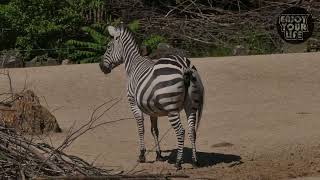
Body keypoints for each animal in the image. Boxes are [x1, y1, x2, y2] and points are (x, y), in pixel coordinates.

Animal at [99, 25, 205, 170]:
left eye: (109, 46)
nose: (101, 67)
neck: (133, 64)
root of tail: (184, 65)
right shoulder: (152, 109)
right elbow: (154, 130)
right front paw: (159, 155)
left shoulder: (133, 103)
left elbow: (140, 128)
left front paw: (142, 155)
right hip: (191, 105)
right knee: (191, 130)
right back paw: (195, 161)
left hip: (171, 107)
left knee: (181, 131)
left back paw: (178, 163)